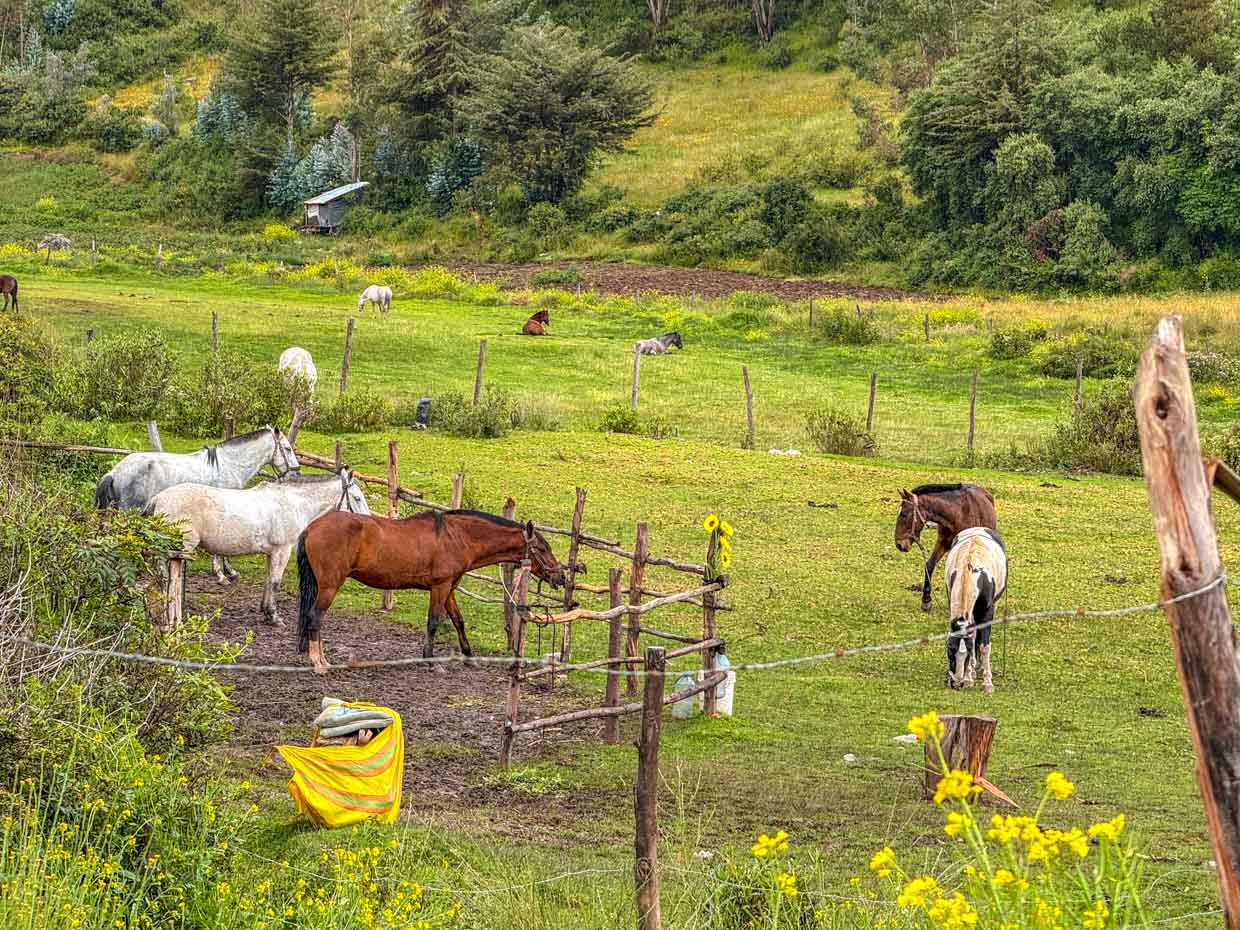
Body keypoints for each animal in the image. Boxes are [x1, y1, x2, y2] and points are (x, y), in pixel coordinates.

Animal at [96, 425, 300, 580]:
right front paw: (222, 575)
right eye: (287, 449)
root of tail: (115, 472)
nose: (296, 473)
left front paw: (230, 571)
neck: (230, 465)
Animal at [148, 469, 369, 625]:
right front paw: (274, 616)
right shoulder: (282, 551)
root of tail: (158, 498)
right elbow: (275, 582)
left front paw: (265, 610)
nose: (366, 523)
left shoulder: (271, 553)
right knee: (167, 578)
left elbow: (268, 580)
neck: (292, 503)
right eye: (357, 498)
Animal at [297, 510, 567, 672]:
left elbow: (458, 621)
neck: (456, 537)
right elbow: (434, 622)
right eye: (542, 549)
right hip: (330, 586)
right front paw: (430, 659)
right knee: (314, 617)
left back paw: (324, 660)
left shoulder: (449, 588)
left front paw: (469, 656)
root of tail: (311, 527)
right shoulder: (439, 587)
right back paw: (318, 662)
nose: (560, 577)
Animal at [894, 483, 997, 612]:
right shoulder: (942, 543)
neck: (958, 513)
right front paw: (926, 600)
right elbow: (930, 565)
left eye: (903, 514)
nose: (899, 544)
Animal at [943, 527, 1007, 693]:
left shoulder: (987, 611)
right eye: (950, 650)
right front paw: (968, 678)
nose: (956, 683)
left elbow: (984, 646)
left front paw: (988, 683)